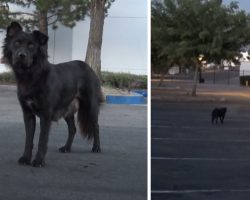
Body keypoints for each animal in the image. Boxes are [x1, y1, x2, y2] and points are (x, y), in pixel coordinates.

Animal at [3, 21, 102, 167]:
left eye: (31, 46)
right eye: (16, 43)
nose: (21, 55)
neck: (32, 75)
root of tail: (88, 67)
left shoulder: (46, 115)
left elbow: (42, 140)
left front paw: (38, 161)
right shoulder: (28, 114)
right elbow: (28, 139)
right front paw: (25, 158)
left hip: (90, 105)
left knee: (96, 126)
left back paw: (97, 147)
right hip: (68, 108)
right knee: (72, 129)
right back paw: (66, 148)